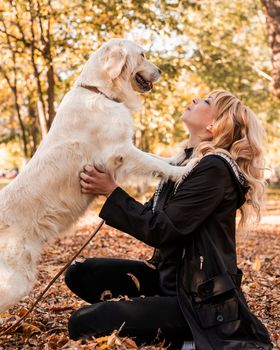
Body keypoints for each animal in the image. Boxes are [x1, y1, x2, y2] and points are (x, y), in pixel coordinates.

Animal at [0, 38, 195, 312]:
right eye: (142, 55)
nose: (160, 71)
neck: (99, 92)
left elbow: (156, 158)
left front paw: (177, 158)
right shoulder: (121, 149)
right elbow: (151, 161)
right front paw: (184, 169)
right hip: (14, 279)